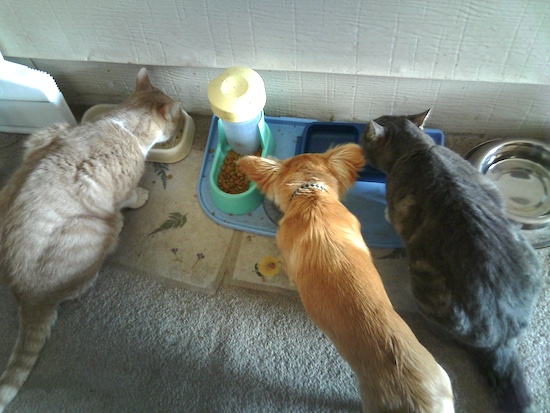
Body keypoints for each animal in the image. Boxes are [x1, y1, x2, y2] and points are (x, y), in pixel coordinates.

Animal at [0, 67, 184, 408]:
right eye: (176, 121)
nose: (180, 125)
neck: (122, 125)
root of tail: (23, 296)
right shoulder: (119, 187)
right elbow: (130, 196)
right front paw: (140, 196)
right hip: (99, 229)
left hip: (37, 142)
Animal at [360, 110, 544, 412]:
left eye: (365, 137)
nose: (363, 133)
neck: (417, 149)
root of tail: (501, 337)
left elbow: (391, 213)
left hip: (424, 286)